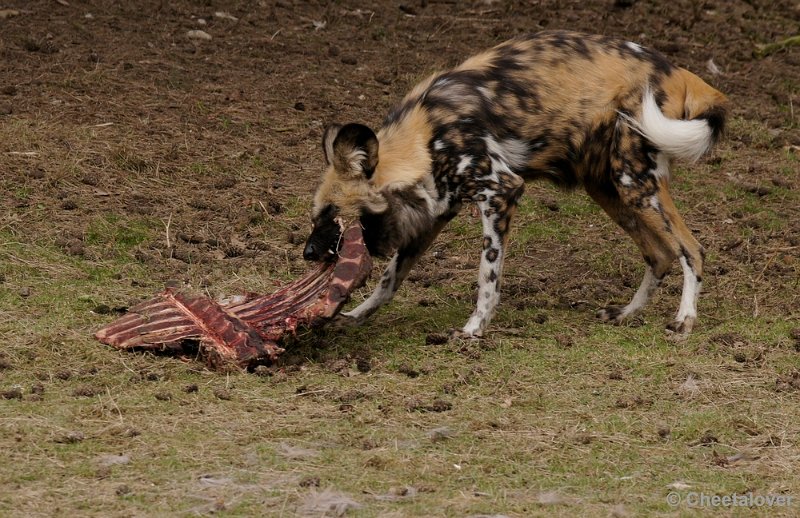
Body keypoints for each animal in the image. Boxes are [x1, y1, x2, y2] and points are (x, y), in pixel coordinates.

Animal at [304, 31, 728, 342]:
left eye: (332, 215)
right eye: (316, 215)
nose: (307, 253)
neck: (423, 139)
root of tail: (679, 72)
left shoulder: (501, 191)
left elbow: (487, 277)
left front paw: (474, 329)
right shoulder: (434, 212)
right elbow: (389, 281)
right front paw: (355, 315)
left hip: (634, 182)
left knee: (691, 249)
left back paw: (684, 321)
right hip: (610, 189)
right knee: (661, 254)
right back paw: (625, 313)